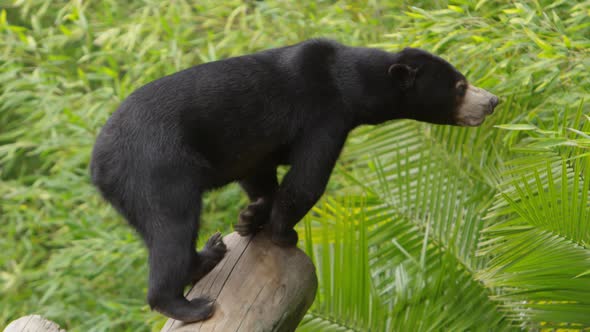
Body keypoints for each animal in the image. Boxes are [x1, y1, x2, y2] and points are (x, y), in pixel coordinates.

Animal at [90, 39, 502, 322]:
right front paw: (284, 233)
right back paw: (192, 301)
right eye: (460, 86)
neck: (352, 86)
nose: (493, 101)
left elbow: (261, 174)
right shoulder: (325, 117)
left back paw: (211, 252)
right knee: (172, 228)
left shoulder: (259, 146)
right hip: (156, 168)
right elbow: (307, 180)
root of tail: (97, 164)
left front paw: (251, 218)